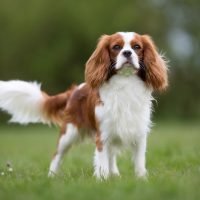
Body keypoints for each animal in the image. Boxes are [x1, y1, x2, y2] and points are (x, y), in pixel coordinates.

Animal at [0, 31, 169, 180]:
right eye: (116, 47)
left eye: (136, 47)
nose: (127, 53)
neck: (125, 83)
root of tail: (74, 90)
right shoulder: (103, 135)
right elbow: (102, 161)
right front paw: (103, 180)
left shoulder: (139, 133)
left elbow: (139, 162)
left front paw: (141, 179)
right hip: (69, 133)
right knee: (57, 155)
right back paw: (51, 177)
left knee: (111, 156)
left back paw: (115, 174)